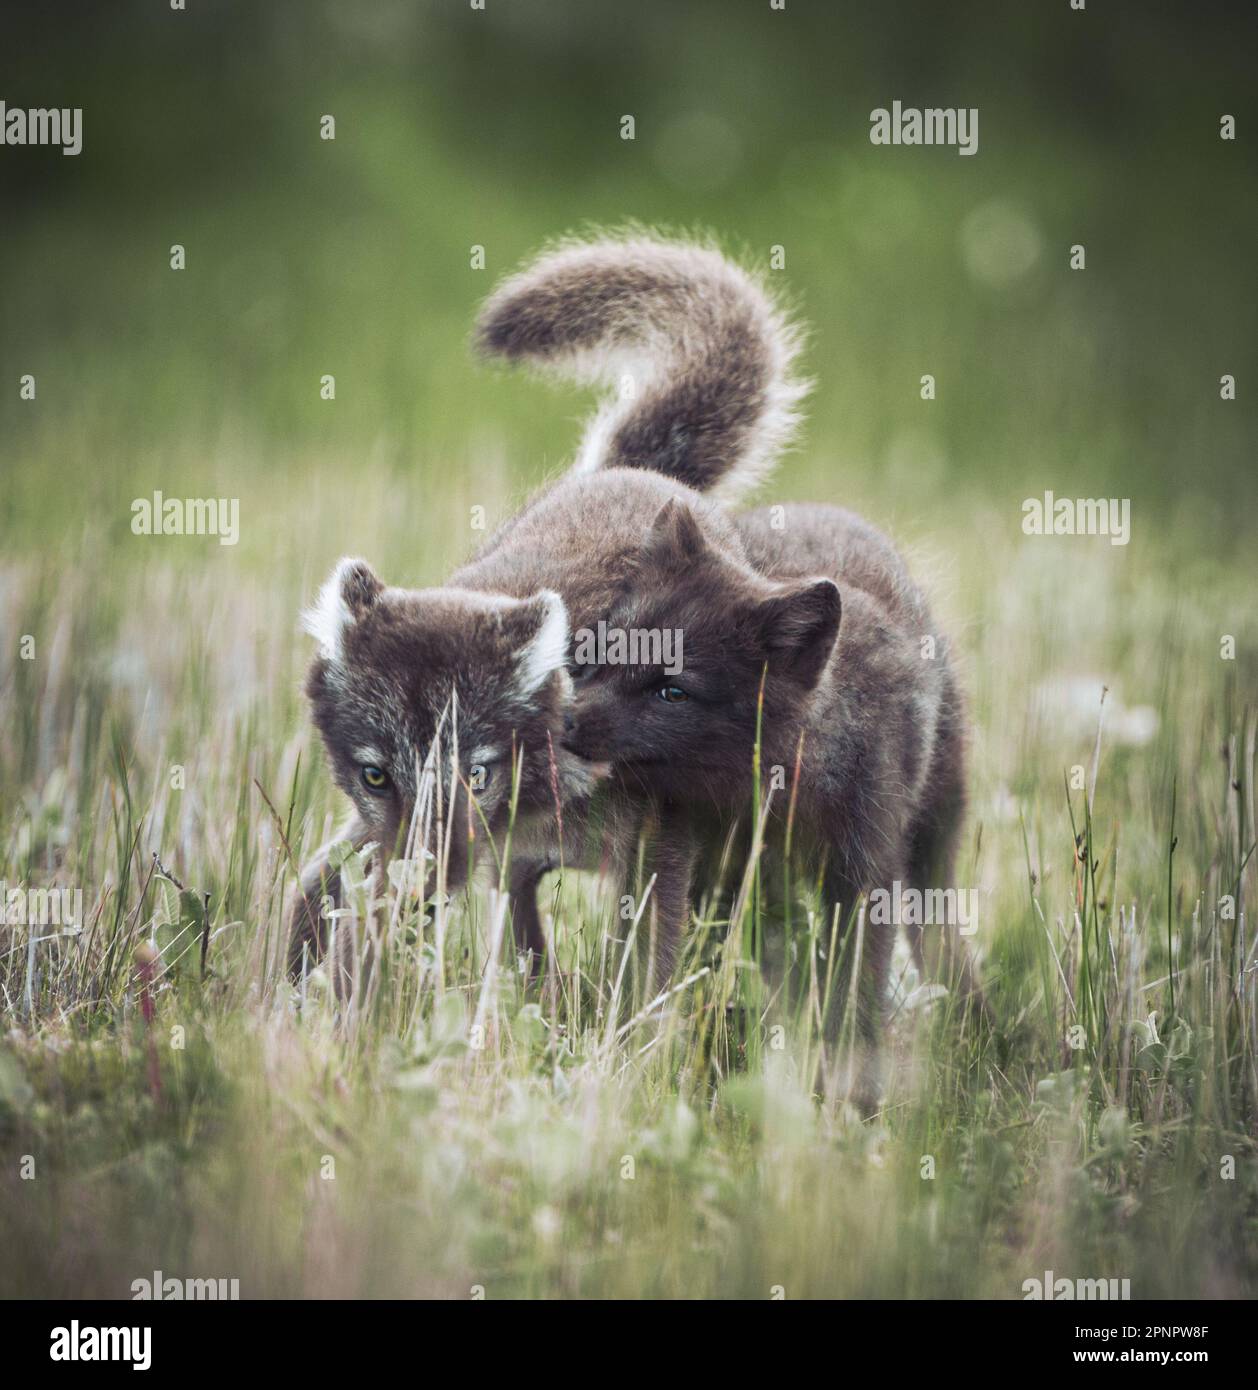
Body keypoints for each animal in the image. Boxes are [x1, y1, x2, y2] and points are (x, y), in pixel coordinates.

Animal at [289, 233, 806, 978]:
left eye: (477, 774)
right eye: (376, 775)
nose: (424, 888)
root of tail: (634, 473)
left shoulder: (660, 847)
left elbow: (645, 971)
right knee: (309, 892)